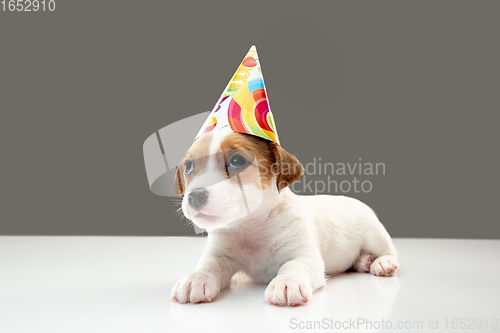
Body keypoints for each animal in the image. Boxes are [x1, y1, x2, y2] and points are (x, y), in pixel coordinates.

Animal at [172, 130, 398, 306]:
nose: (195, 196)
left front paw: (288, 282)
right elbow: (209, 265)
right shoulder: (220, 255)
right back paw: (363, 261)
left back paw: (381, 262)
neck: (251, 228)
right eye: (188, 166)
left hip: (375, 235)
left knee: (389, 251)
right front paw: (197, 278)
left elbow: (292, 265)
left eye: (237, 161)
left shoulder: (306, 257)